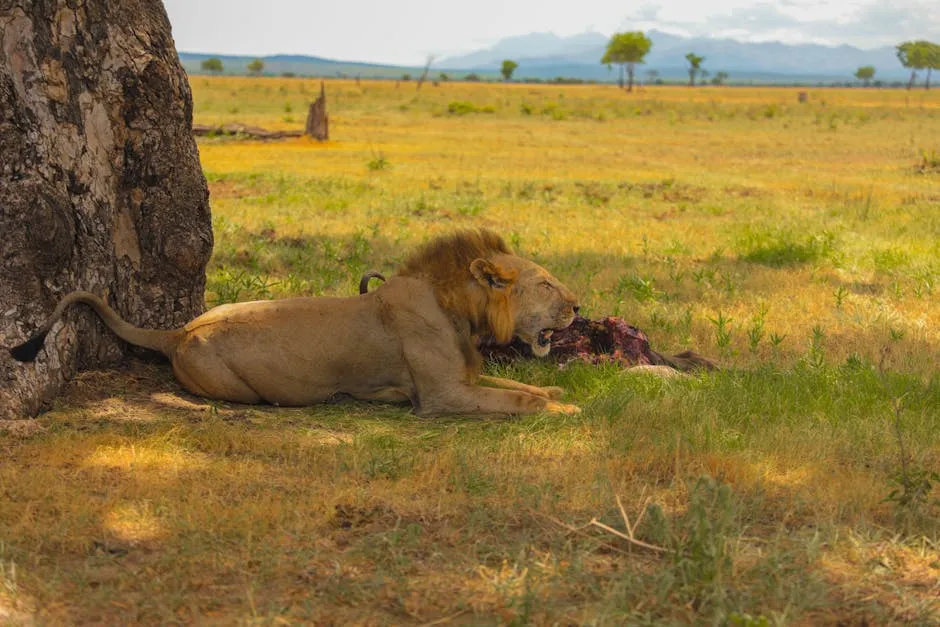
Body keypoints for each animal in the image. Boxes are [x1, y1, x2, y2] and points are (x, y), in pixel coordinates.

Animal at [9, 229, 580, 418]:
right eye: (547, 285)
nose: (579, 306)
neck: (458, 308)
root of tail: (179, 332)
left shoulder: (464, 380)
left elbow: (518, 386)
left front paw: (561, 396)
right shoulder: (441, 398)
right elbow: (518, 400)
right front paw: (563, 410)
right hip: (241, 389)